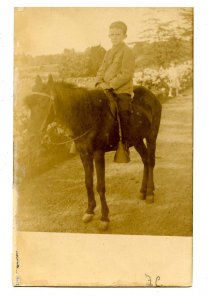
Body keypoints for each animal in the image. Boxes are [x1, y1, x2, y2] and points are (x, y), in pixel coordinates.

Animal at [24, 75, 162, 230]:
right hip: (137, 140)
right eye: (28, 105)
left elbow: (100, 186)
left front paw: (104, 217)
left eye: (43, 103)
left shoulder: (98, 154)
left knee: (151, 161)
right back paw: (143, 191)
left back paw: (149, 193)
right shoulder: (84, 154)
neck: (87, 114)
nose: (30, 136)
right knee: (145, 160)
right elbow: (88, 182)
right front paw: (89, 210)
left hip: (151, 136)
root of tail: (152, 95)